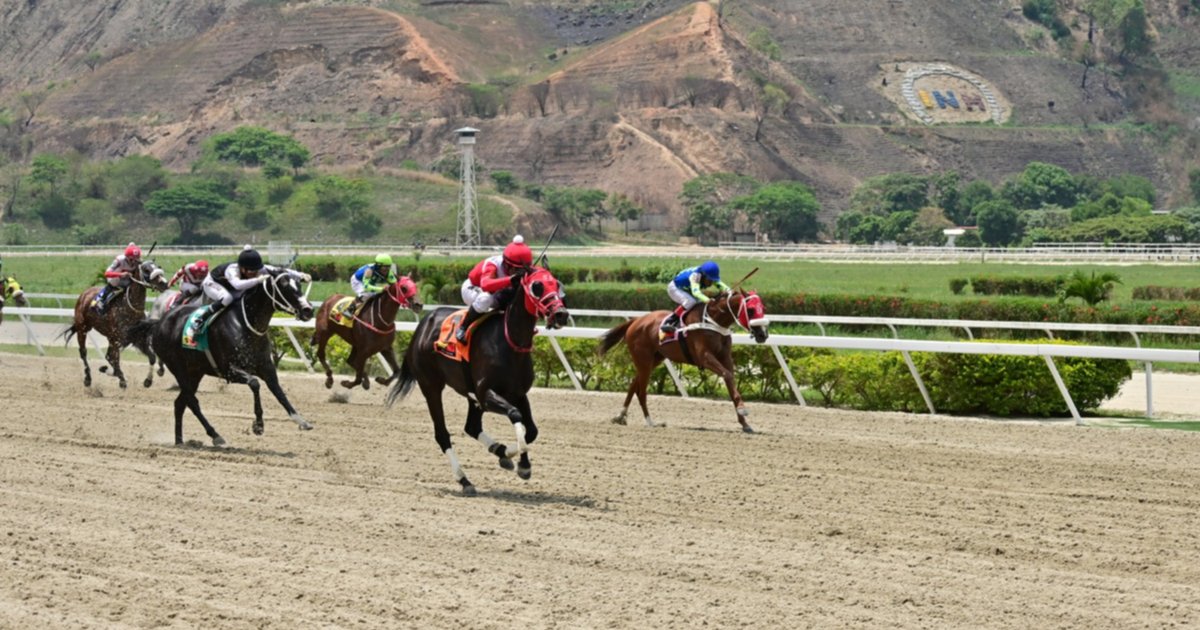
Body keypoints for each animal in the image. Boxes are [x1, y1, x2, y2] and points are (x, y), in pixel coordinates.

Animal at [62, 256, 169, 388]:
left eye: (158, 267)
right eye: (146, 269)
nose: (164, 283)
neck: (130, 307)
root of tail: (84, 294)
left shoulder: (136, 338)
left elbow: (152, 357)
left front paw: (148, 380)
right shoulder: (118, 339)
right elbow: (115, 360)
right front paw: (121, 379)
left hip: (108, 337)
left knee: (108, 356)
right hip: (83, 329)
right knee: (84, 352)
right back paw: (88, 378)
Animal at [129, 268, 316, 446]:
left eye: (298, 285)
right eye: (284, 286)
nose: (308, 310)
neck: (246, 324)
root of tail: (159, 322)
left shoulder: (266, 367)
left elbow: (279, 392)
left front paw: (301, 421)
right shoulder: (228, 370)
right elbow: (255, 384)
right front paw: (258, 425)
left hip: (195, 373)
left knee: (179, 403)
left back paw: (180, 440)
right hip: (179, 369)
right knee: (192, 402)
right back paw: (215, 435)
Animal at [386, 265, 568, 496]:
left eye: (557, 283)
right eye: (537, 286)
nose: (561, 314)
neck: (508, 340)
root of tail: (424, 324)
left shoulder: (518, 393)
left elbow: (531, 431)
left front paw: (513, 458)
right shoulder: (487, 394)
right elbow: (516, 415)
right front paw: (519, 461)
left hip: (470, 395)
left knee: (471, 426)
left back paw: (497, 450)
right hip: (431, 387)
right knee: (442, 434)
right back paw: (464, 480)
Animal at [597, 289, 768, 432]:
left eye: (763, 309)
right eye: (751, 310)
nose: (763, 335)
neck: (713, 322)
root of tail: (635, 321)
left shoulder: (725, 358)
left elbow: (730, 379)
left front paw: (745, 423)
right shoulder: (704, 357)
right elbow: (727, 375)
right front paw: (742, 409)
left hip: (654, 359)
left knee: (633, 384)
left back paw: (620, 416)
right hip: (643, 359)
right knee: (641, 391)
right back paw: (651, 422)